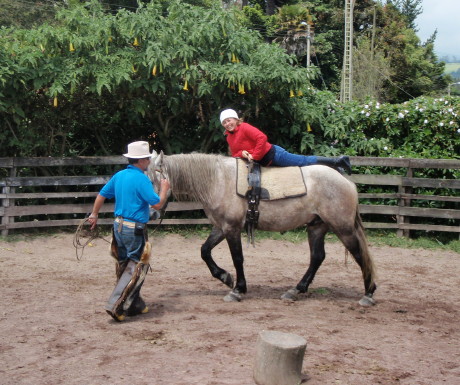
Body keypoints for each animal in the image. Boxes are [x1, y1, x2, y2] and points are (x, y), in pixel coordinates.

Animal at [149, 152, 376, 304]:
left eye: (153, 179)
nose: (151, 214)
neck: (218, 180)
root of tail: (346, 182)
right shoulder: (221, 227)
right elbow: (204, 251)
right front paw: (225, 277)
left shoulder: (231, 228)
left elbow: (237, 258)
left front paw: (237, 289)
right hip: (317, 226)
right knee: (317, 257)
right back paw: (295, 290)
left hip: (343, 228)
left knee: (358, 254)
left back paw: (369, 293)